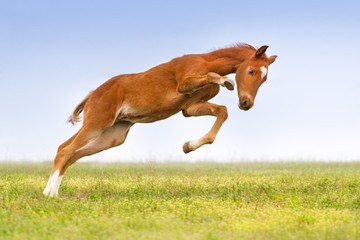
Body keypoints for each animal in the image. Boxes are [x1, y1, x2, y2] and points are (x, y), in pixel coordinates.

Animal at [43, 43, 278, 197]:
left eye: (264, 78)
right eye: (251, 71)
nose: (246, 103)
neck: (207, 61)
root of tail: (93, 94)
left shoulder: (190, 108)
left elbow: (223, 112)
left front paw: (188, 146)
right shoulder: (184, 84)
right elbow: (214, 79)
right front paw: (227, 81)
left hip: (113, 136)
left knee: (74, 154)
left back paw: (52, 191)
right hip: (97, 123)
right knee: (65, 149)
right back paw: (49, 194)